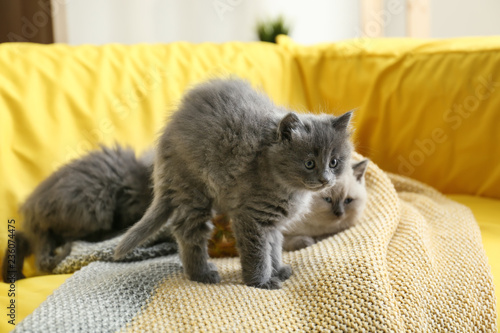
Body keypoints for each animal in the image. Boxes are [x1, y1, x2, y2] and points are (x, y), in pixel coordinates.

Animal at [114, 78, 354, 288]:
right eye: (309, 163)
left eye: (334, 162)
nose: (325, 179)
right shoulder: (251, 217)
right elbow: (258, 253)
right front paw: (261, 282)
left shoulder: (274, 222)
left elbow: (274, 246)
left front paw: (277, 270)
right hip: (193, 192)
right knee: (188, 232)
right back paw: (201, 274)